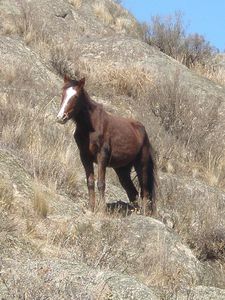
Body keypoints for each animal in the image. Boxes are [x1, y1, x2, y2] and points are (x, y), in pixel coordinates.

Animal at [56, 75, 156, 216]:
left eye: (76, 96)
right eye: (63, 94)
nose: (61, 117)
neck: (90, 127)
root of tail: (143, 131)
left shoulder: (102, 156)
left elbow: (101, 183)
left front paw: (102, 210)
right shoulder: (85, 157)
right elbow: (90, 182)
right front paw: (91, 208)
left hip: (142, 165)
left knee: (145, 191)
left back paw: (145, 213)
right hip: (122, 170)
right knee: (132, 192)